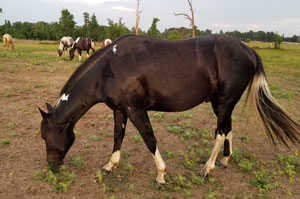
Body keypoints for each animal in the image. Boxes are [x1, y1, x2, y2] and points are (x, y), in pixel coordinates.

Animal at [39, 33, 300, 183]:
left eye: (44, 136)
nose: (51, 166)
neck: (109, 68)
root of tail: (248, 50)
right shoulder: (120, 110)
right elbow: (117, 137)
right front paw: (109, 166)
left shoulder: (136, 111)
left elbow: (150, 140)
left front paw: (161, 175)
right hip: (221, 104)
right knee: (228, 129)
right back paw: (224, 161)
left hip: (225, 102)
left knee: (220, 133)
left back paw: (207, 169)